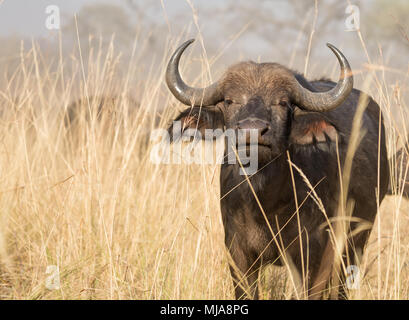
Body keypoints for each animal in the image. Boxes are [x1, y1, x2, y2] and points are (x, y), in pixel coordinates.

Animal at [164, 38, 388, 298]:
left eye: (282, 103)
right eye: (230, 101)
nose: (252, 131)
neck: (264, 201)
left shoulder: (314, 254)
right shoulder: (237, 253)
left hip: (355, 242)